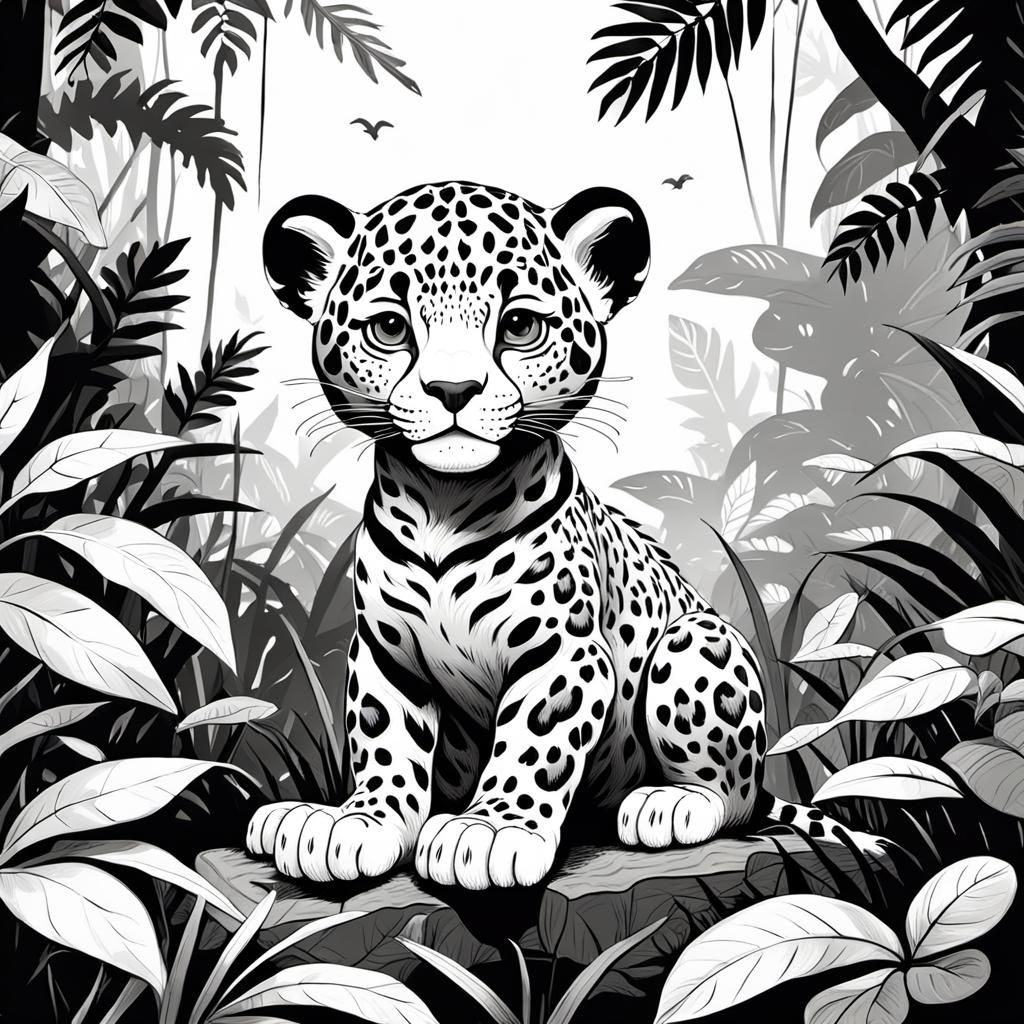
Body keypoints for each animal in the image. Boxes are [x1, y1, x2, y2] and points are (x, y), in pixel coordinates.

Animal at [246, 180, 878, 889]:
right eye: (390, 328)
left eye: (519, 326)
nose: (453, 389)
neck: (444, 502)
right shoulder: (387, 653)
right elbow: (386, 741)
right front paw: (360, 821)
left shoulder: (563, 650)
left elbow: (534, 741)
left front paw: (490, 832)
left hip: (696, 642)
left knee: (735, 796)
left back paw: (669, 803)